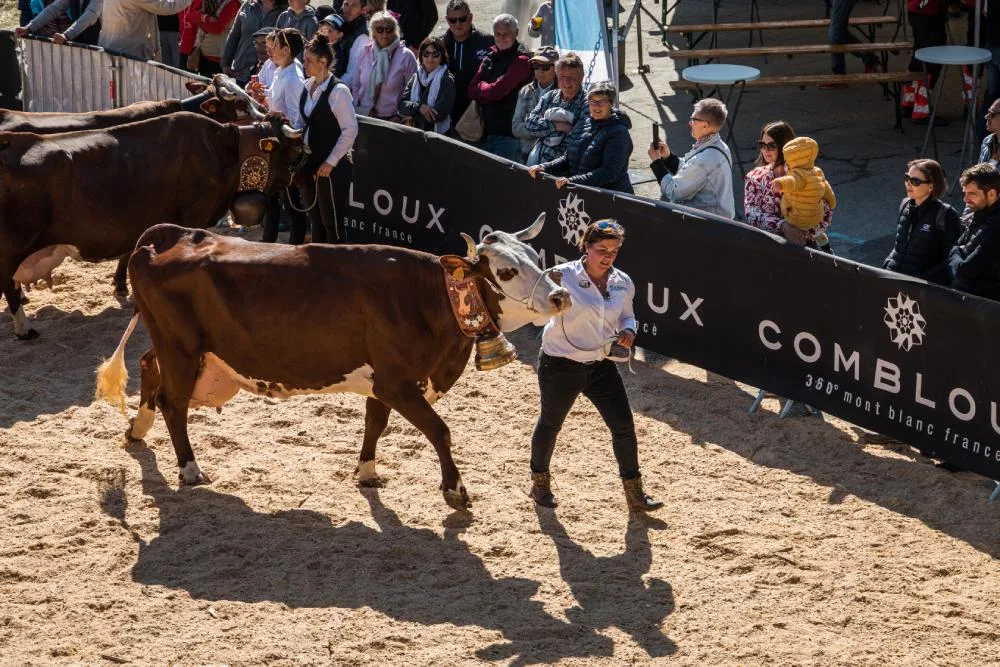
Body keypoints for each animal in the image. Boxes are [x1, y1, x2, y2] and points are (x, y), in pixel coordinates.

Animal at [0, 111, 304, 340]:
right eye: (295, 150)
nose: (299, 175)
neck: (221, 149)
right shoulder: (193, 215)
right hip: (12, 247)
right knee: (8, 284)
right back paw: (24, 329)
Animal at [98, 219, 576, 512]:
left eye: (535, 256)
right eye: (507, 271)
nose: (560, 296)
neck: (427, 297)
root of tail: (174, 233)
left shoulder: (383, 383)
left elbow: (374, 424)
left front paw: (366, 472)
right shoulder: (399, 382)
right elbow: (439, 431)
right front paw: (455, 490)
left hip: (180, 349)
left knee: (148, 368)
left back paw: (137, 430)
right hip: (181, 348)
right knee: (173, 402)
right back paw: (189, 468)